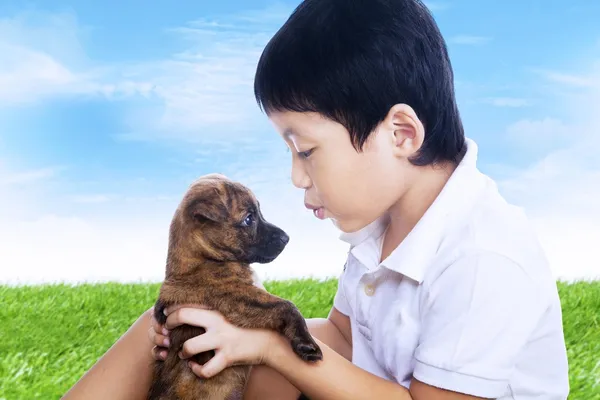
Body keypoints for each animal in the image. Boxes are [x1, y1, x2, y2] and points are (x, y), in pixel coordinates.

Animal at [147, 174, 322, 400]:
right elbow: (288, 306)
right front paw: (307, 345)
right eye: (248, 219)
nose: (286, 238)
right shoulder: (238, 298)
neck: (203, 259)